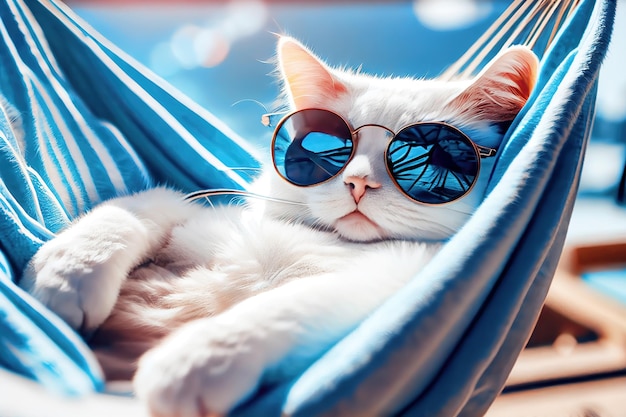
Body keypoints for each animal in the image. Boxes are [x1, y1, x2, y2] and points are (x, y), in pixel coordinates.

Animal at [19, 36, 536, 416]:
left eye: (432, 157)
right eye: (326, 148)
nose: (357, 181)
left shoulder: (399, 280)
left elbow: (282, 305)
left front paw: (194, 361)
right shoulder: (200, 215)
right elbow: (140, 207)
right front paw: (69, 272)